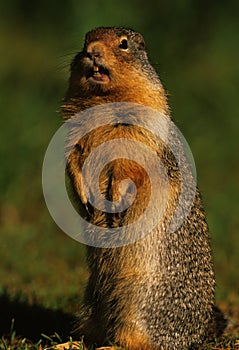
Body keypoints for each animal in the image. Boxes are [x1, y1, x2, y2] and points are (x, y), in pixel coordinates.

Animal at [61, 27, 226, 350]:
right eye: (85, 40)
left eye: (124, 44)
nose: (92, 51)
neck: (103, 100)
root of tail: (197, 334)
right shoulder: (73, 128)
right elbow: (73, 157)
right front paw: (85, 195)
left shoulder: (142, 125)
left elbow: (128, 164)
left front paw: (113, 199)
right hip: (93, 298)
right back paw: (70, 343)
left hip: (138, 303)